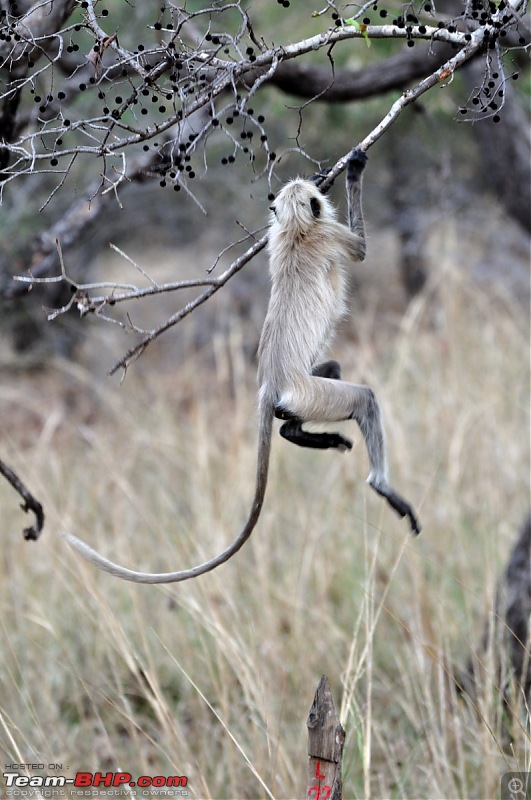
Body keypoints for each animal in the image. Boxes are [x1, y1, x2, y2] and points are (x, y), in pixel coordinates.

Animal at [63, 145, 420, 580]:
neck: (298, 230)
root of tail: (270, 386)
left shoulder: (278, 236)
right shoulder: (331, 234)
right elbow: (362, 250)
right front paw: (352, 170)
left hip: (304, 393)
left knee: (320, 383)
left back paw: (297, 432)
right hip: (313, 393)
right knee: (364, 399)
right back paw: (381, 486)